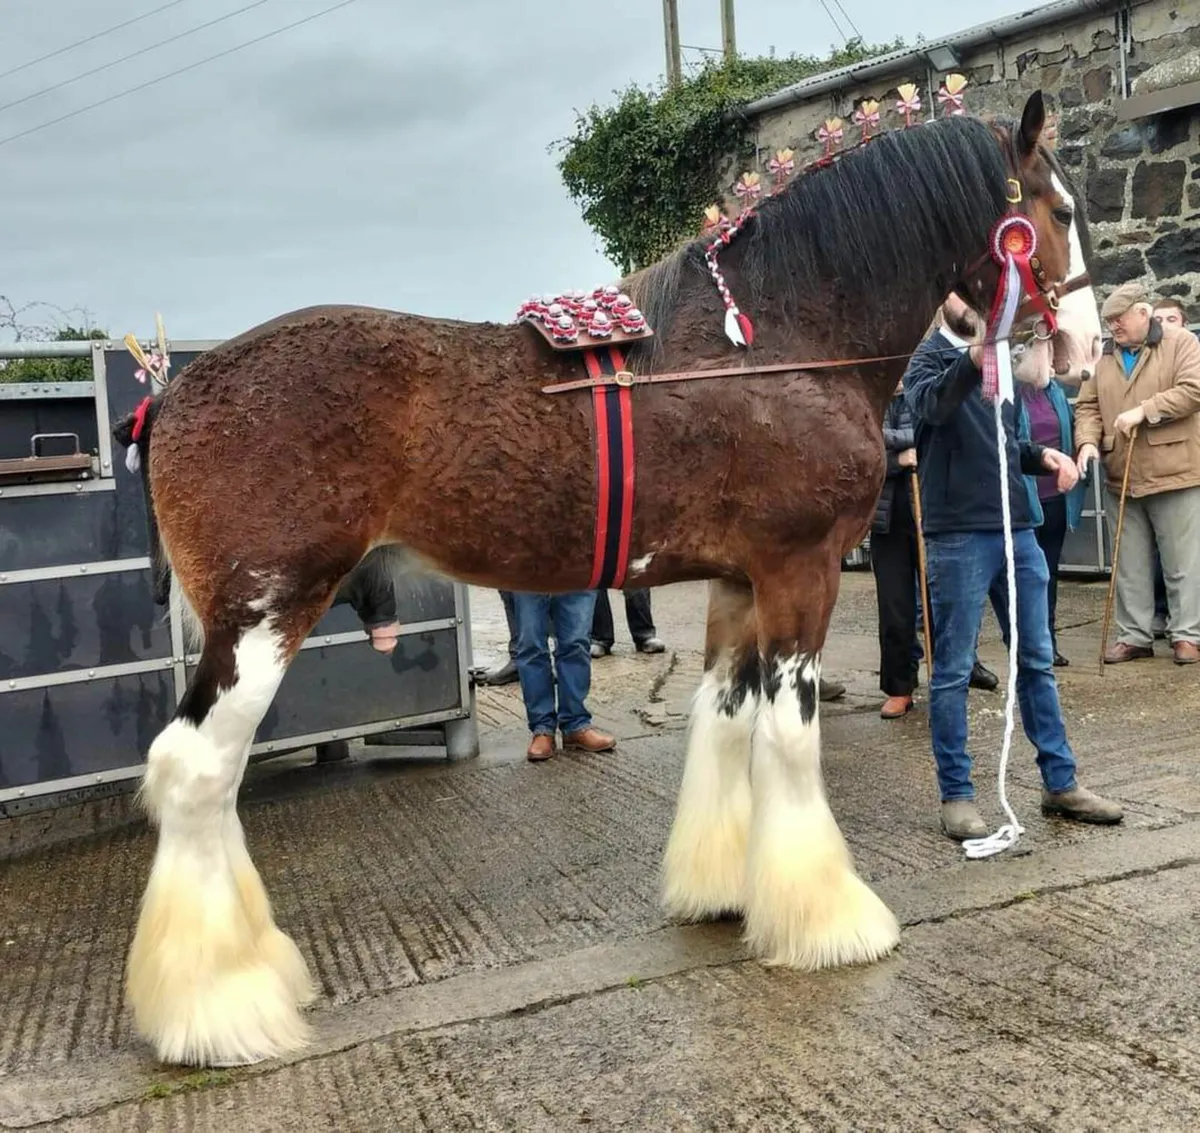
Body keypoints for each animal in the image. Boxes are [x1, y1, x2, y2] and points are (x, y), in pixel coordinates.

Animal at [116, 90, 1098, 1067]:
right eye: (1058, 213)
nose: (1083, 350)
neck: (776, 339)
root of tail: (178, 388)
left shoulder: (739, 584)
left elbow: (726, 722)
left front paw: (724, 889)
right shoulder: (800, 571)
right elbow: (788, 739)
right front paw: (826, 920)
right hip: (264, 617)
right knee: (195, 770)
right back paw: (218, 1007)